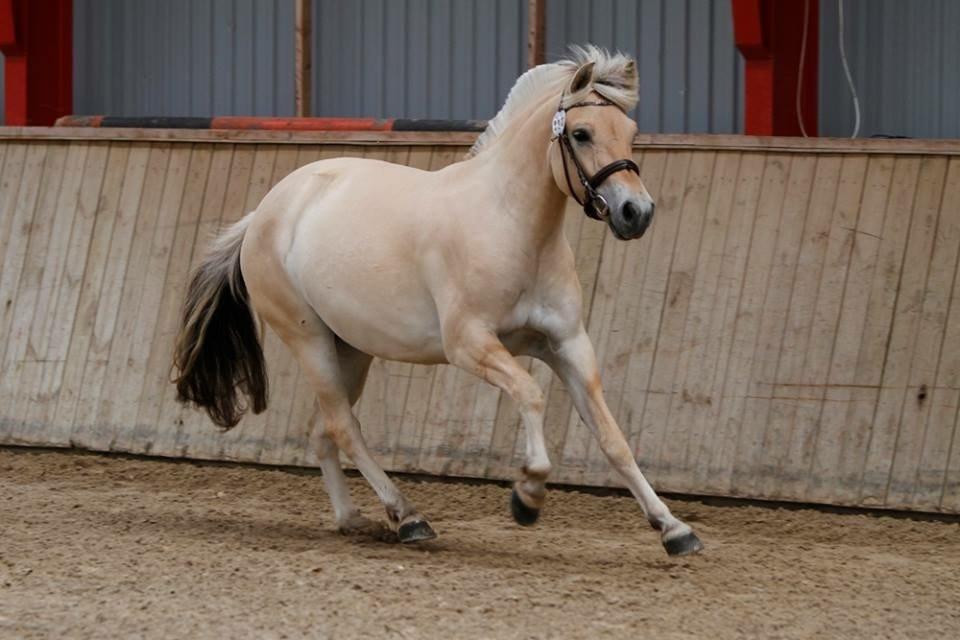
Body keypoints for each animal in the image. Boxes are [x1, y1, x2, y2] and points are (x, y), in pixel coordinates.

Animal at [174, 45, 704, 556]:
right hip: (308, 340)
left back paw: (355, 520)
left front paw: (674, 529)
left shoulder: (568, 344)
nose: (637, 213)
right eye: (581, 133)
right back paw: (409, 518)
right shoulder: (470, 345)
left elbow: (613, 439)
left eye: (630, 131)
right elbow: (531, 395)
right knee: (344, 427)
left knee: (325, 431)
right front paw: (528, 497)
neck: (513, 226)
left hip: (352, 347)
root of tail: (263, 214)